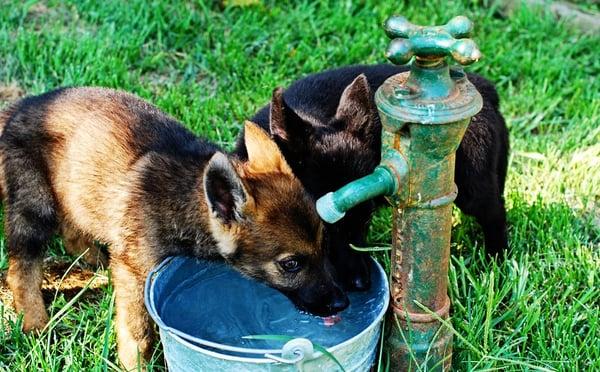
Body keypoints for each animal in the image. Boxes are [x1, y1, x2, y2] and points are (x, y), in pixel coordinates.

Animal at [1, 87, 346, 370]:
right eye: (291, 265)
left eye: (326, 246)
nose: (343, 303)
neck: (184, 201)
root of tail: (20, 106)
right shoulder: (133, 273)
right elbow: (137, 332)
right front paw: (136, 366)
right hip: (34, 205)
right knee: (21, 269)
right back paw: (35, 324)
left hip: (75, 190)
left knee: (72, 228)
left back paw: (94, 261)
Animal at [237, 64, 508, 290]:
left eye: (366, 219)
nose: (361, 284)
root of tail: (484, 87)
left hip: (471, 189)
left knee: (495, 212)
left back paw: (496, 262)